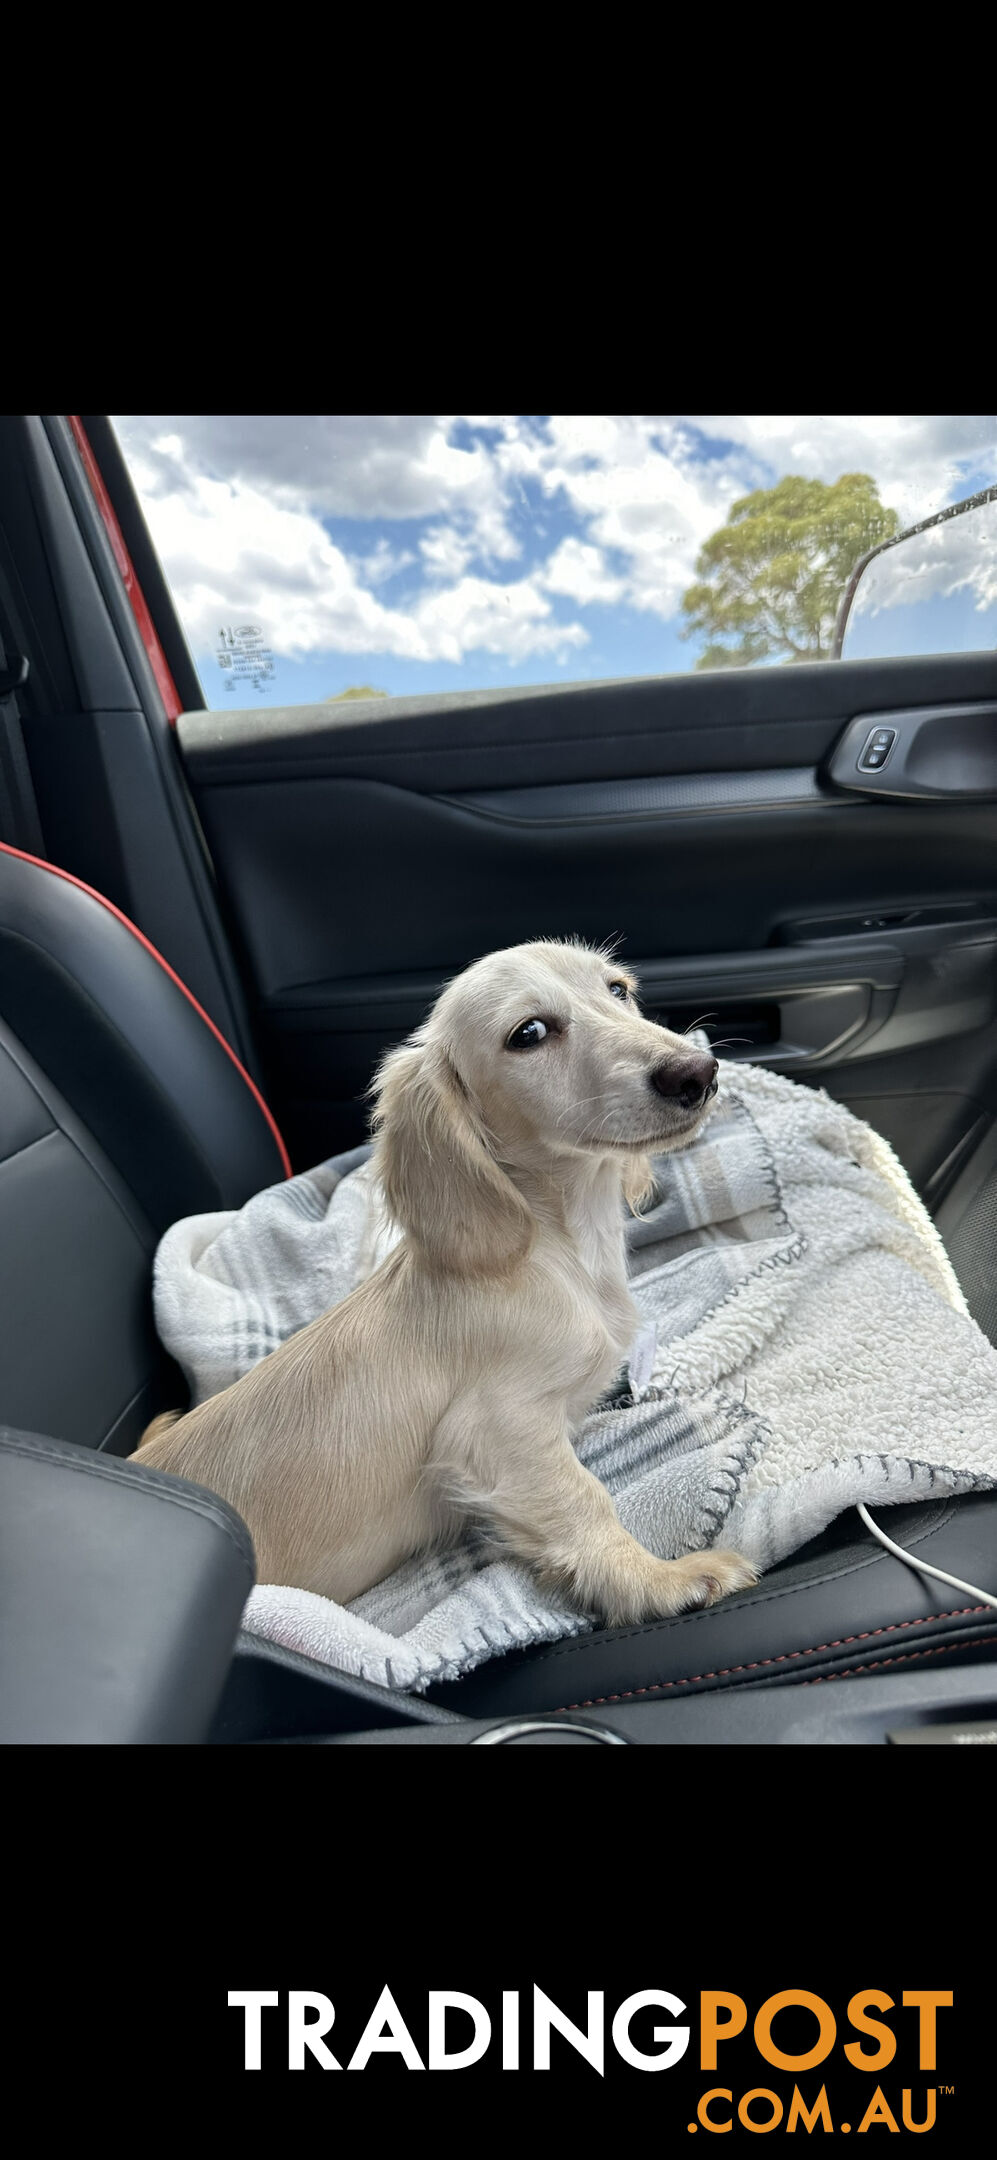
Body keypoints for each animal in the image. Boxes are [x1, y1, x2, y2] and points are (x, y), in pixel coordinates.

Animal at [132, 937, 755, 1624]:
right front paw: (657, 1581)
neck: (559, 1251)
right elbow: (583, 1502)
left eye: (617, 990)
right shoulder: (497, 1433)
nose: (698, 1072)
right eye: (528, 1033)